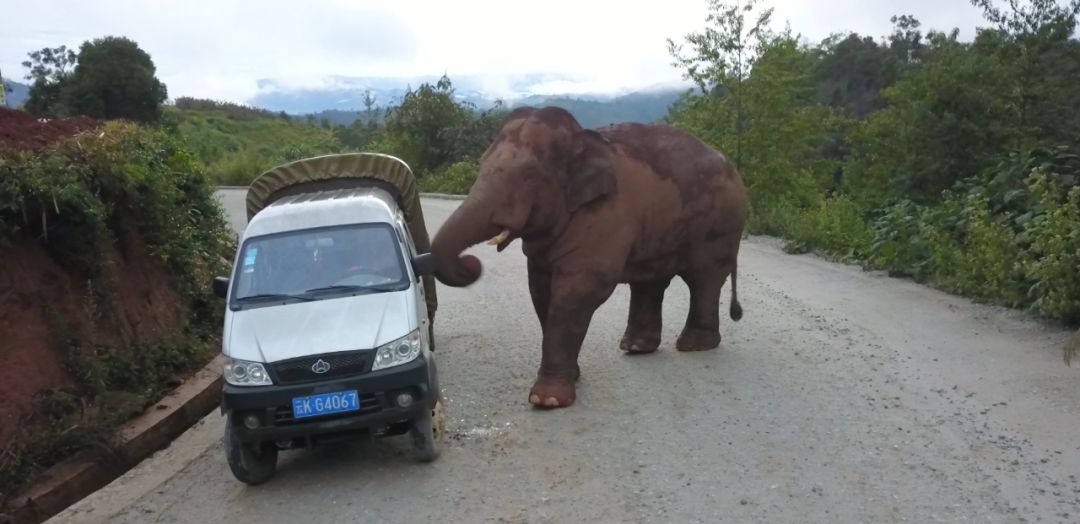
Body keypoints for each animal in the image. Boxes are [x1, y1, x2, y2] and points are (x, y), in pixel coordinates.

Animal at [425, 107, 747, 408]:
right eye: (481, 163)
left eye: (529, 174)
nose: (472, 263)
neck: (580, 141)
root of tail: (734, 168)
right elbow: (540, 290)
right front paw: (571, 379)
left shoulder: (606, 214)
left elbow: (578, 291)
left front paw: (547, 401)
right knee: (651, 282)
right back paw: (636, 347)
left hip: (721, 226)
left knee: (704, 279)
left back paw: (694, 346)